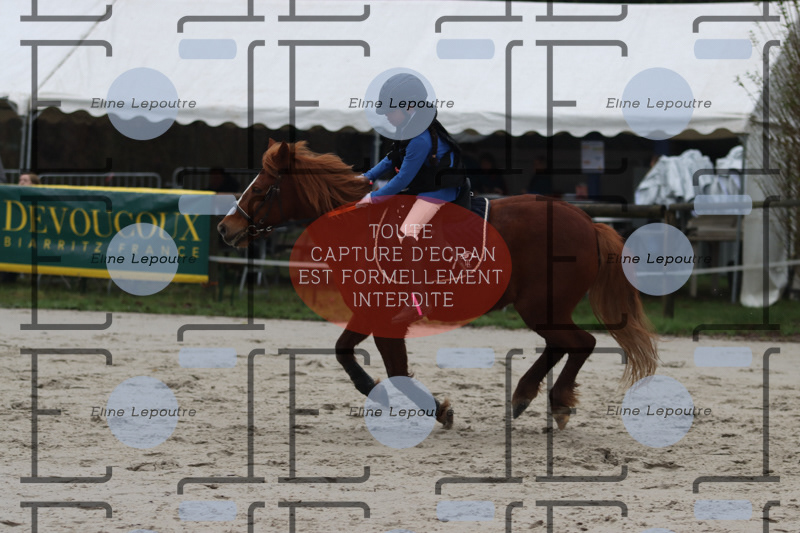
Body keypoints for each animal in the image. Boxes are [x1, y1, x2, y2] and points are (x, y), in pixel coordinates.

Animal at [217, 139, 658, 430]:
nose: (225, 227)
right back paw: (526, 395)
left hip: (540, 307)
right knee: (562, 344)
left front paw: (433, 408)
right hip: (544, 308)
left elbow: (388, 365)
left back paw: (555, 401)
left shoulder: (385, 317)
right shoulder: (371, 313)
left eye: (260, 189)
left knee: (581, 342)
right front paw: (382, 391)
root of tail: (587, 222)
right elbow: (350, 353)